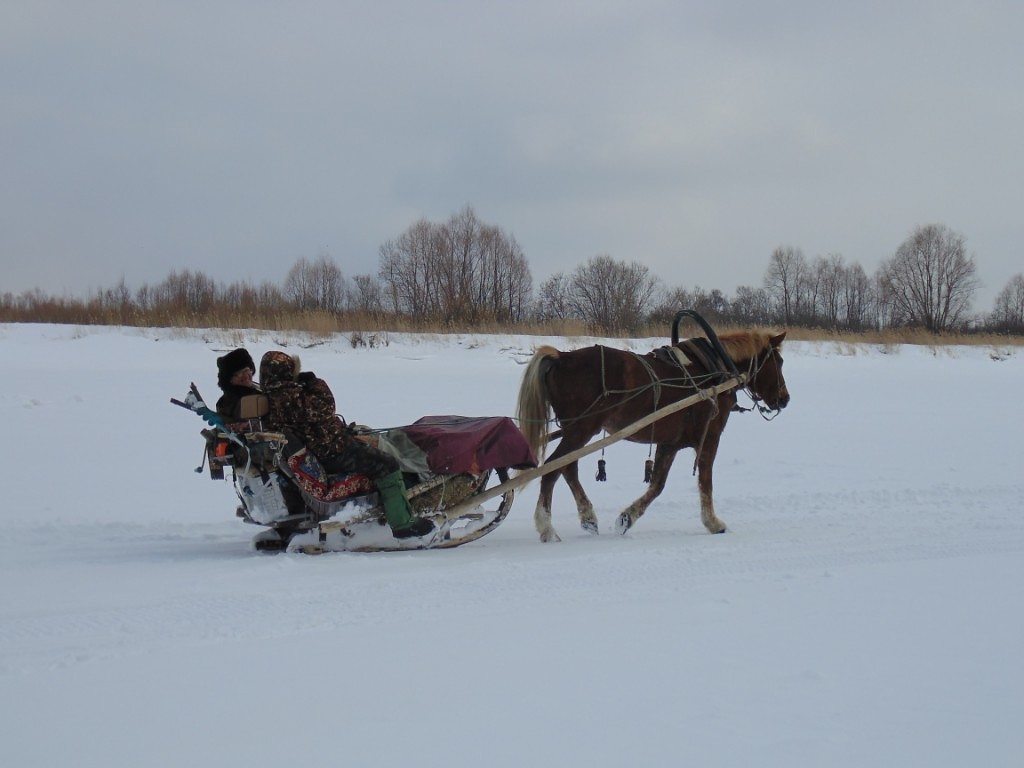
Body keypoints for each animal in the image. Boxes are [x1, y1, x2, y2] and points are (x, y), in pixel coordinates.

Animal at [512, 329, 790, 540]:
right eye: (778, 362)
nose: (784, 399)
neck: (715, 368)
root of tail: (560, 357)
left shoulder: (669, 443)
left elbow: (657, 485)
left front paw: (627, 518)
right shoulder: (710, 437)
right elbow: (705, 482)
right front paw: (713, 523)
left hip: (577, 431)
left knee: (567, 468)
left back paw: (588, 517)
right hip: (581, 429)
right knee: (552, 469)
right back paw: (547, 528)